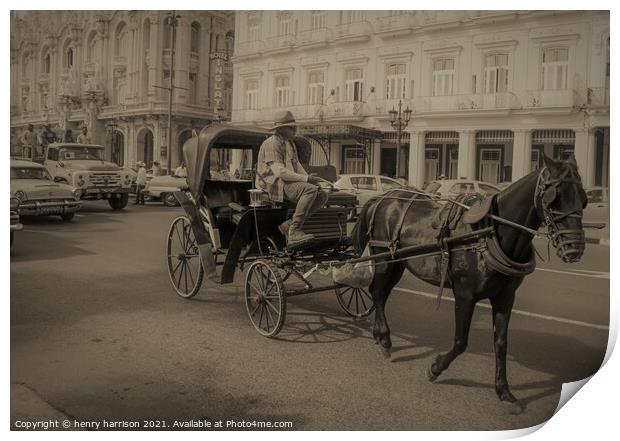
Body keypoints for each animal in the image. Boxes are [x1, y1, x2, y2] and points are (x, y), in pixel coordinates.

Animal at [354, 153, 588, 410]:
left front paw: (503, 390)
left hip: (398, 263)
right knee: (377, 292)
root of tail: (381, 198)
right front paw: (435, 368)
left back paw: (379, 335)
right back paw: (385, 339)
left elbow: (501, 343)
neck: (489, 234)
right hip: (384, 258)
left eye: (583, 199)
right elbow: (460, 341)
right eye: (554, 198)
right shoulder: (465, 295)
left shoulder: (505, 297)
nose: (575, 249)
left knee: (382, 294)